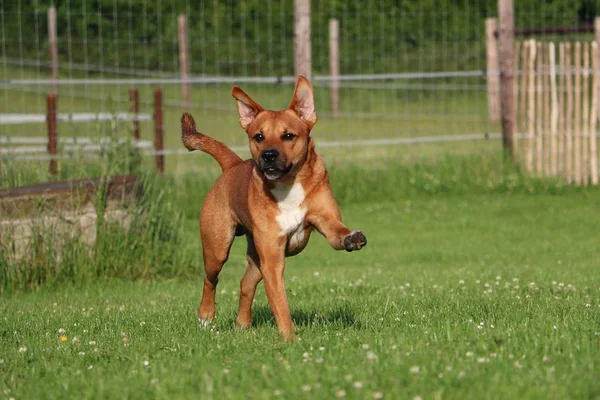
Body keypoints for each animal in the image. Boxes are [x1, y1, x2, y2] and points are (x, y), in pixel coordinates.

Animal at [179, 76, 366, 340]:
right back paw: (206, 316)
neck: (287, 185)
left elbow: (336, 232)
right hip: (218, 247)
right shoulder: (272, 257)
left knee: (245, 283)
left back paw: (242, 324)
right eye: (258, 136)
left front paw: (351, 237)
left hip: (256, 258)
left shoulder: (324, 219)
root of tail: (232, 166)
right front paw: (290, 337)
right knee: (210, 279)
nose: (268, 155)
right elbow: (280, 302)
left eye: (288, 136)